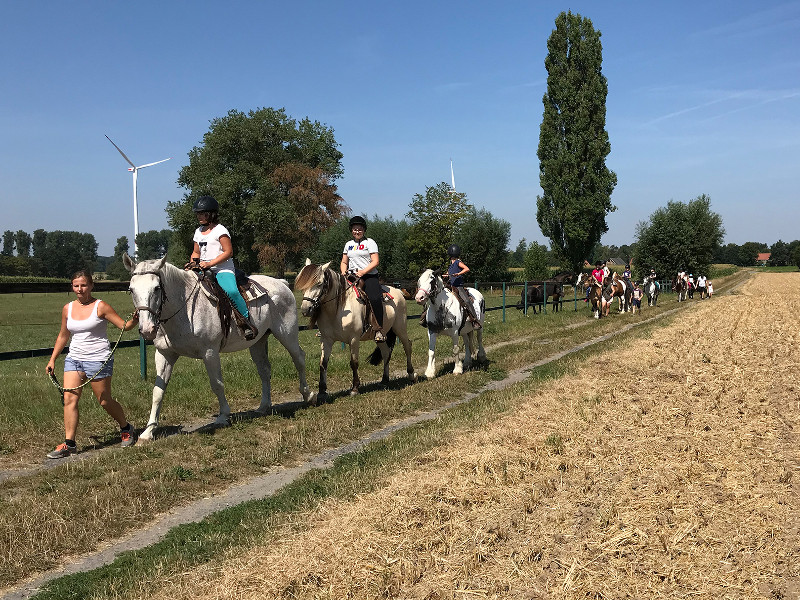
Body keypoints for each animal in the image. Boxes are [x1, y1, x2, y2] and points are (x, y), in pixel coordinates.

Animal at [125, 253, 312, 440]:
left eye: (157, 288)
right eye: (131, 290)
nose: (147, 329)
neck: (184, 308)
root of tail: (281, 283)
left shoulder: (210, 352)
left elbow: (217, 384)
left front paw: (223, 416)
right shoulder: (165, 354)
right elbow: (158, 391)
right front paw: (149, 431)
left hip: (287, 334)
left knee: (299, 358)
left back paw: (308, 394)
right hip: (257, 342)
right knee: (265, 370)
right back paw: (264, 406)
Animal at [296, 260, 418, 400]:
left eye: (319, 283)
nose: (306, 309)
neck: (338, 310)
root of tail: (398, 291)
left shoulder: (353, 339)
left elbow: (354, 362)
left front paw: (354, 388)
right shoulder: (326, 340)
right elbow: (323, 364)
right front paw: (322, 391)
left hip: (400, 328)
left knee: (407, 346)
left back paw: (411, 374)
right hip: (381, 336)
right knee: (386, 352)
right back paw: (384, 379)